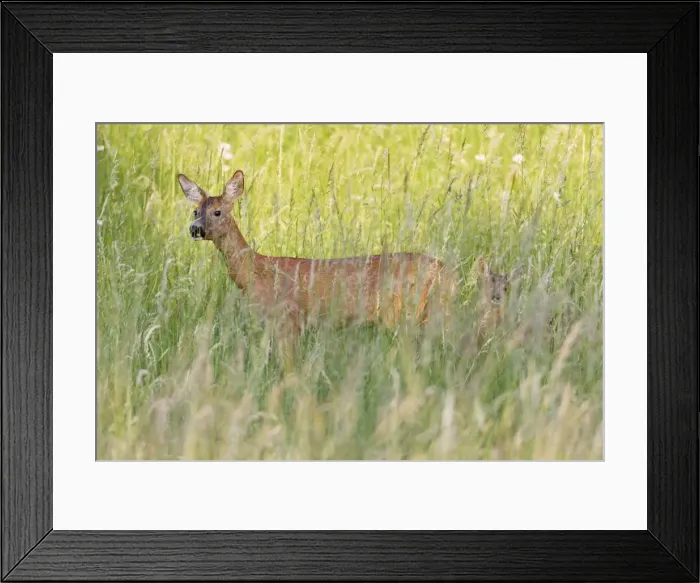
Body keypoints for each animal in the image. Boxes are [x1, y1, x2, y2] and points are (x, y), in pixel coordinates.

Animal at [177, 170, 460, 363]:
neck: (257, 272)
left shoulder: (289, 316)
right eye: (195, 211)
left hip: (406, 312)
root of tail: (448, 273)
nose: (195, 229)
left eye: (217, 212)